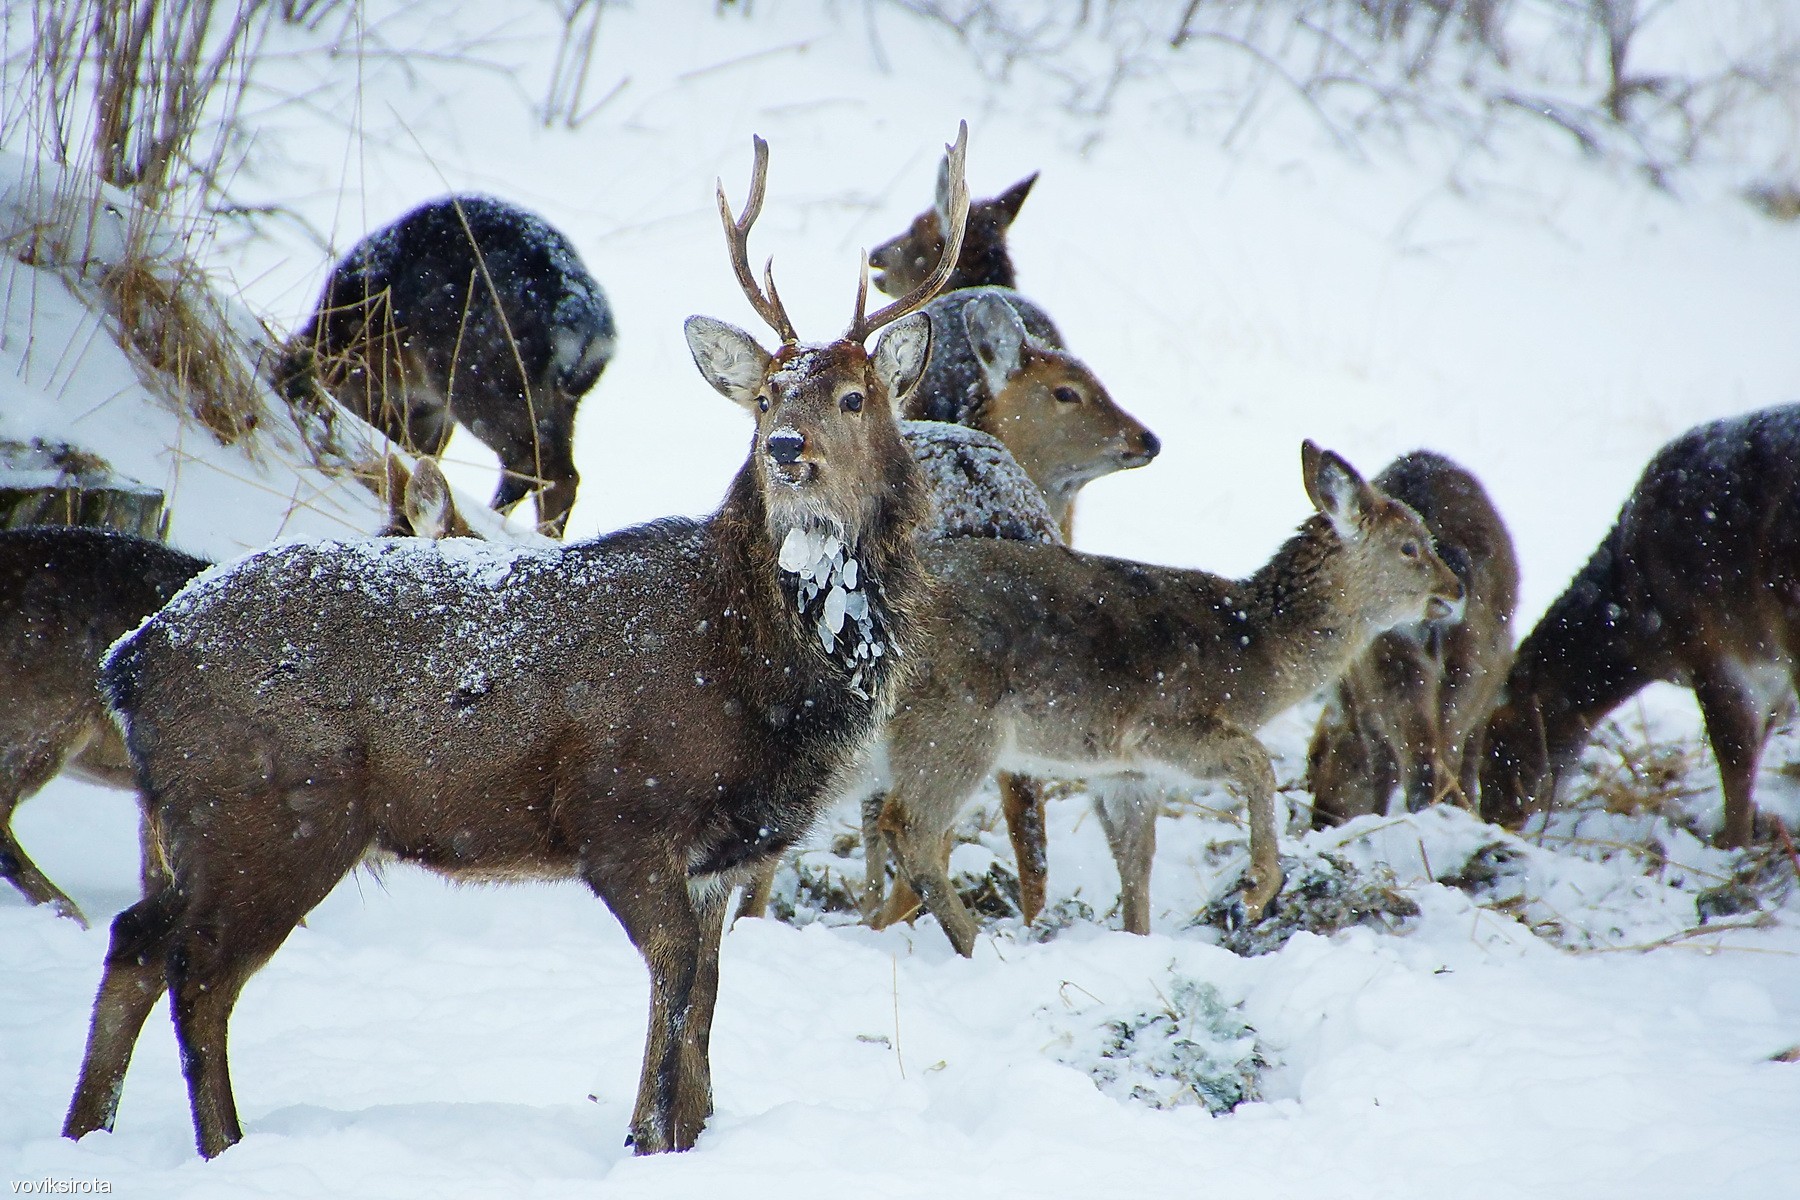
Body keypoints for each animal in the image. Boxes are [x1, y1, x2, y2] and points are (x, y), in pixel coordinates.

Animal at [276, 194, 617, 538]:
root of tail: (586, 321)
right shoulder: (428, 418)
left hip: (479, 378)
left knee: (542, 466)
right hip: (554, 402)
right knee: (556, 470)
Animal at [862, 442, 1466, 956]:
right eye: (1412, 547)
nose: (1455, 590)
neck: (1255, 653)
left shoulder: (1126, 773)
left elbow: (1136, 866)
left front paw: (1138, 941)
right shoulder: (1162, 725)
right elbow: (1258, 761)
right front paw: (1256, 889)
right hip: (956, 724)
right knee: (909, 827)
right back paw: (979, 944)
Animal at [1480, 405, 1800, 849]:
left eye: (1494, 745)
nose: (1494, 817)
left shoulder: (1706, 639)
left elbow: (1734, 749)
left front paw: (1731, 842)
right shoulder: (1767, 665)